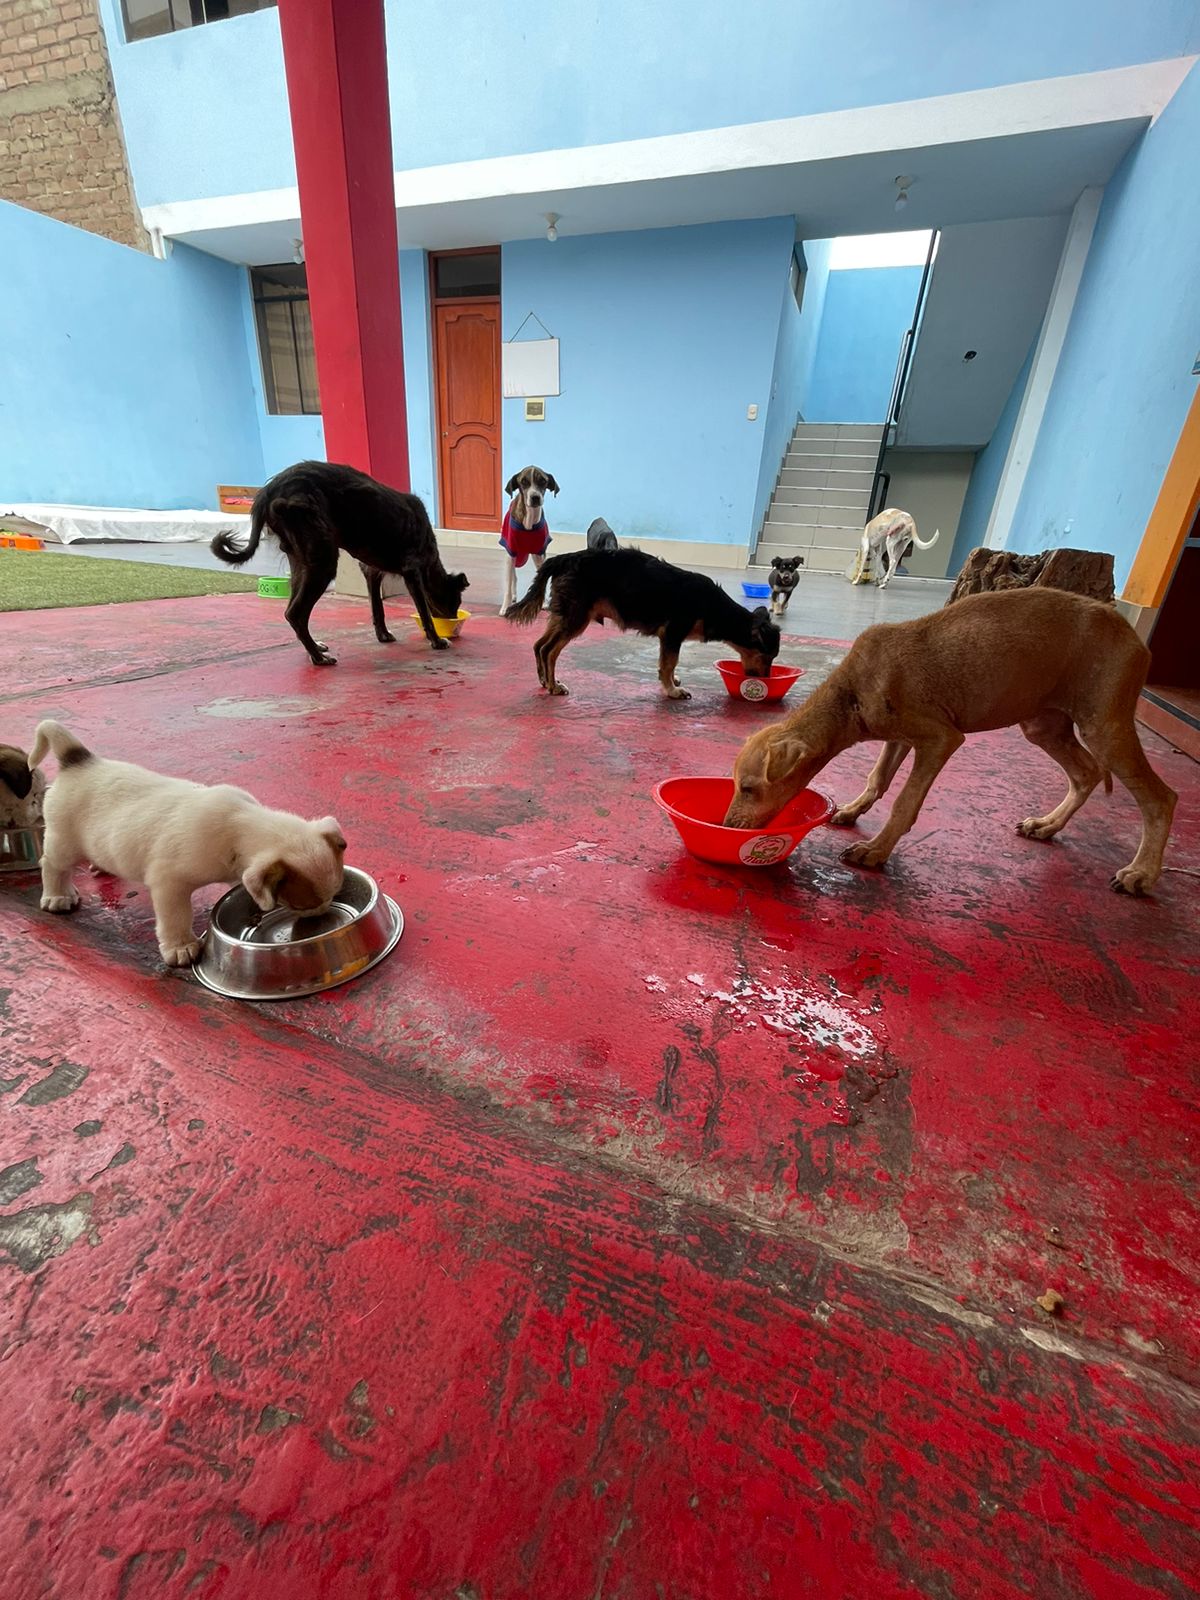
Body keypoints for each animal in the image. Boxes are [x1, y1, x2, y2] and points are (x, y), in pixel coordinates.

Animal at [29, 723, 347, 966]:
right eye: (304, 904)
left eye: (333, 895)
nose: (322, 912)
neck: (239, 824)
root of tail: (78, 759)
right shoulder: (169, 884)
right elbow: (176, 917)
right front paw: (180, 946)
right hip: (63, 842)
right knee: (52, 865)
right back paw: (57, 896)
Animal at [211, 460, 464, 665]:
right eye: (456, 601)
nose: (453, 618)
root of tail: (268, 492)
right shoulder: (412, 572)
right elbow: (424, 612)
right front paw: (436, 640)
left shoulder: (371, 572)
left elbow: (377, 609)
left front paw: (383, 635)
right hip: (322, 563)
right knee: (295, 613)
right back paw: (318, 657)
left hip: (301, 562)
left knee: (292, 611)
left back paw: (315, 648)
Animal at [499, 467, 563, 614]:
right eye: (523, 481)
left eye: (543, 481)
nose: (535, 497)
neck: (529, 521)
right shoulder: (510, 553)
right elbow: (507, 585)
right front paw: (505, 607)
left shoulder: (540, 553)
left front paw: (543, 602)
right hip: (511, 556)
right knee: (513, 577)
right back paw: (513, 595)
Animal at [505, 547, 780, 697]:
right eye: (766, 657)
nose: (765, 679)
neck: (714, 607)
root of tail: (565, 558)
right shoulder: (672, 634)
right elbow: (668, 664)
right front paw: (672, 690)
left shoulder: (670, 639)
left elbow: (668, 664)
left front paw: (673, 682)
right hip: (575, 618)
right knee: (549, 651)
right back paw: (553, 686)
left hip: (563, 615)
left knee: (538, 645)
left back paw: (545, 681)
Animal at [729, 588, 1177, 896]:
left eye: (749, 789)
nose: (729, 825)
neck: (852, 692)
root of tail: (1135, 639)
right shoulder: (900, 736)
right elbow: (878, 779)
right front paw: (854, 810)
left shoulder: (941, 738)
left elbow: (904, 802)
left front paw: (876, 850)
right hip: (1044, 725)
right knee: (1085, 774)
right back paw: (1047, 825)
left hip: (1105, 727)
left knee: (1162, 798)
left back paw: (1141, 873)